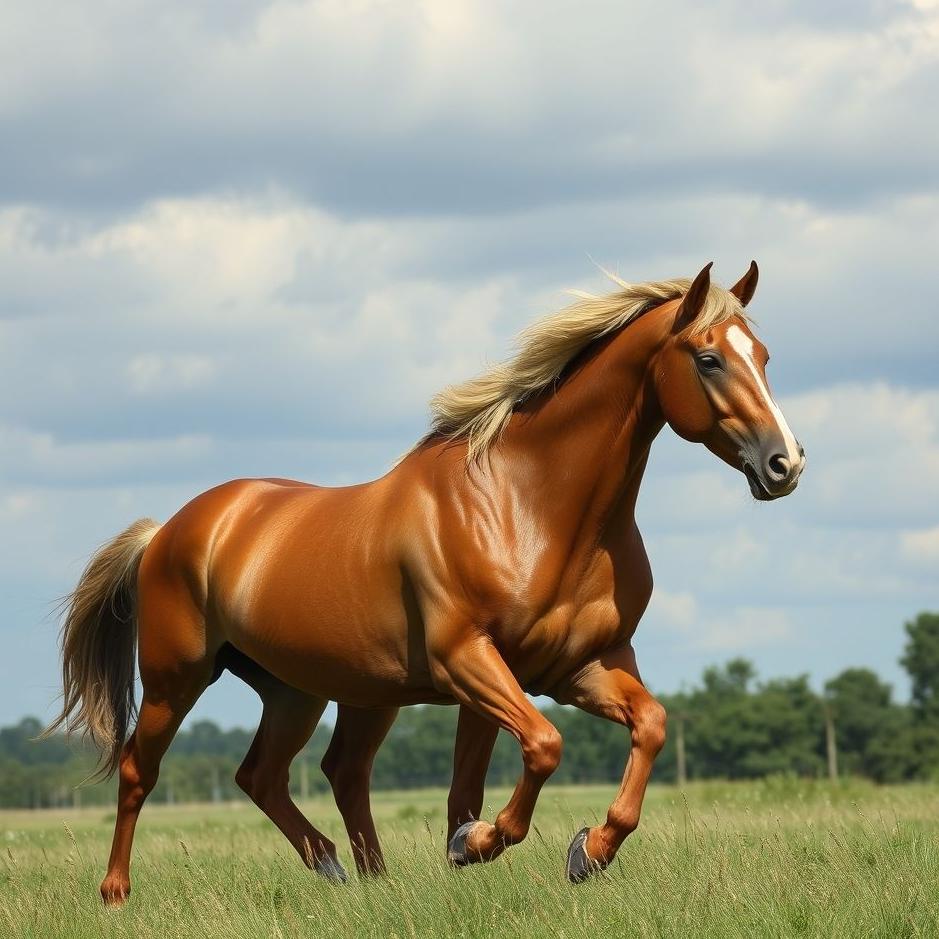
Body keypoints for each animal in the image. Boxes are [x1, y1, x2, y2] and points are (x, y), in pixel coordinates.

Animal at [46, 260, 804, 903]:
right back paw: (116, 892)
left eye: (763, 356)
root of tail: (168, 531)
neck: (527, 505)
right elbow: (541, 748)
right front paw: (479, 842)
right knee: (142, 771)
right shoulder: (468, 661)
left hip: (310, 690)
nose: (785, 463)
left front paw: (585, 848)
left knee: (295, 773)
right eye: (707, 358)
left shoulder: (578, 667)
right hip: (177, 679)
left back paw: (354, 874)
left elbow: (643, 726)